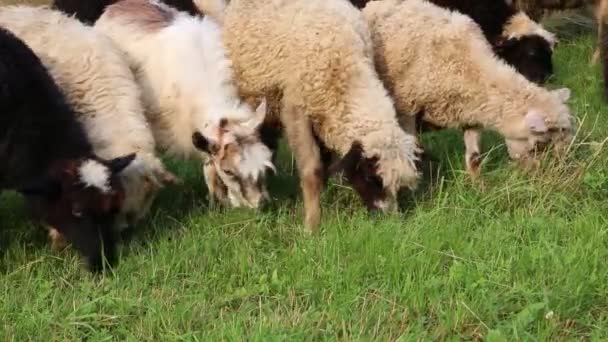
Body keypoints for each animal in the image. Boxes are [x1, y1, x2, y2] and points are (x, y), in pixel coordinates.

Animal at [95, 0, 276, 208]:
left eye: (265, 165)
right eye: (229, 171)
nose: (259, 205)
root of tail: (118, 5)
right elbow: (209, 168)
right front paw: (216, 203)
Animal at [200, 0, 422, 230]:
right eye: (372, 178)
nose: (389, 221)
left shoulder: (324, 115)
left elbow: (324, 163)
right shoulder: (296, 110)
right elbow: (312, 171)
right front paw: (312, 224)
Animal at [364, 0, 572, 176]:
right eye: (531, 52)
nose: (537, 174)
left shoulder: (470, 114)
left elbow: (473, 159)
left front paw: (479, 188)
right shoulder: (408, 109)